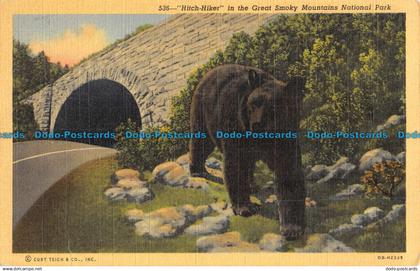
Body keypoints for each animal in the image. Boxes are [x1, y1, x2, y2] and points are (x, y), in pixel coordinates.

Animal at [189, 64, 306, 240]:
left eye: (273, 107)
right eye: (253, 104)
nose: (256, 124)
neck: (264, 138)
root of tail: (210, 71)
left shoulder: (285, 140)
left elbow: (288, 174)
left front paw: (292, 227)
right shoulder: (236, 128)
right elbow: (235, 165)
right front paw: (245, 208)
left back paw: (252, 185)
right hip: (202, 112)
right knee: (201, 141)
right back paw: (198, 171)